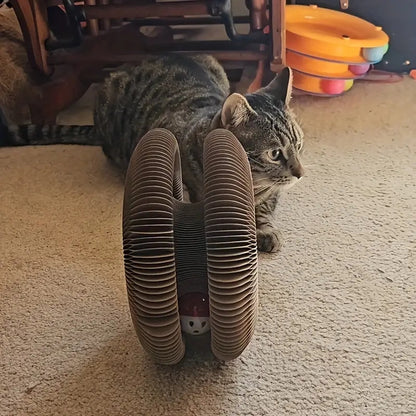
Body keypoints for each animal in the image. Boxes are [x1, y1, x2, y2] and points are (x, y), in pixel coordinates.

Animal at [0, 53, 306, 252]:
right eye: (275, 153)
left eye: (299, 145)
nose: (301, 173)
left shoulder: (270, 194)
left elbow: (265, 207)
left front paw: (263, 229)